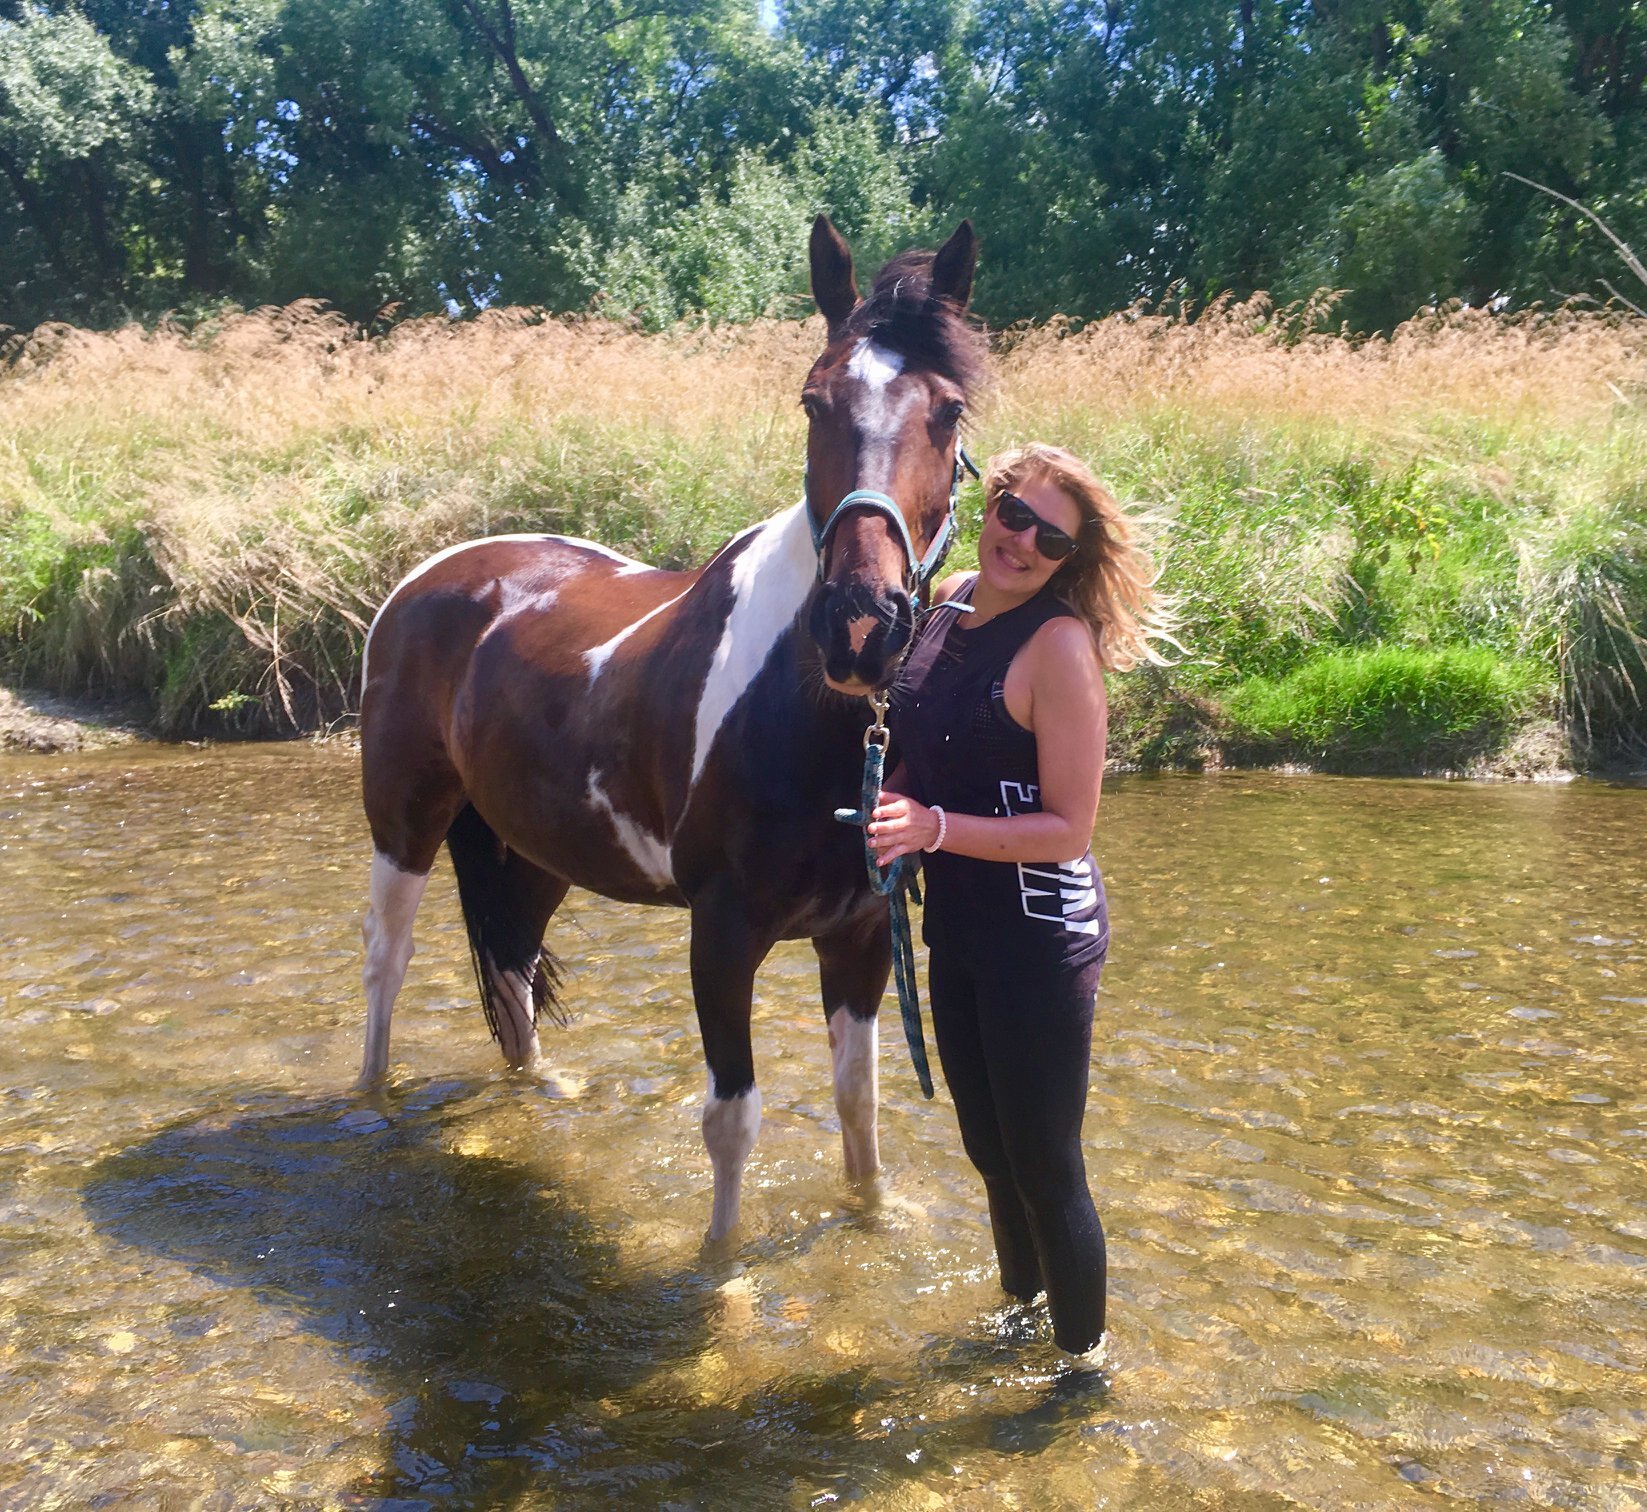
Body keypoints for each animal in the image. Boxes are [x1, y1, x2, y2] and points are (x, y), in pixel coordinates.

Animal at [357, 216, 986, 1240]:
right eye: (812, 402)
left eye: (949, 410)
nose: (861, 625)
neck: (809, 720)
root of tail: (432, 574)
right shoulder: (721, 931)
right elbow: (732, 1119)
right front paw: (720, 1266)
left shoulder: (858, 933)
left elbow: (858, 1106)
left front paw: (873, 1222)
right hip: (403, 825)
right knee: (387, 962)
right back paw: (369, 1101)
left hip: (533, 850)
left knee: (512, 969)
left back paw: (542, 1091)